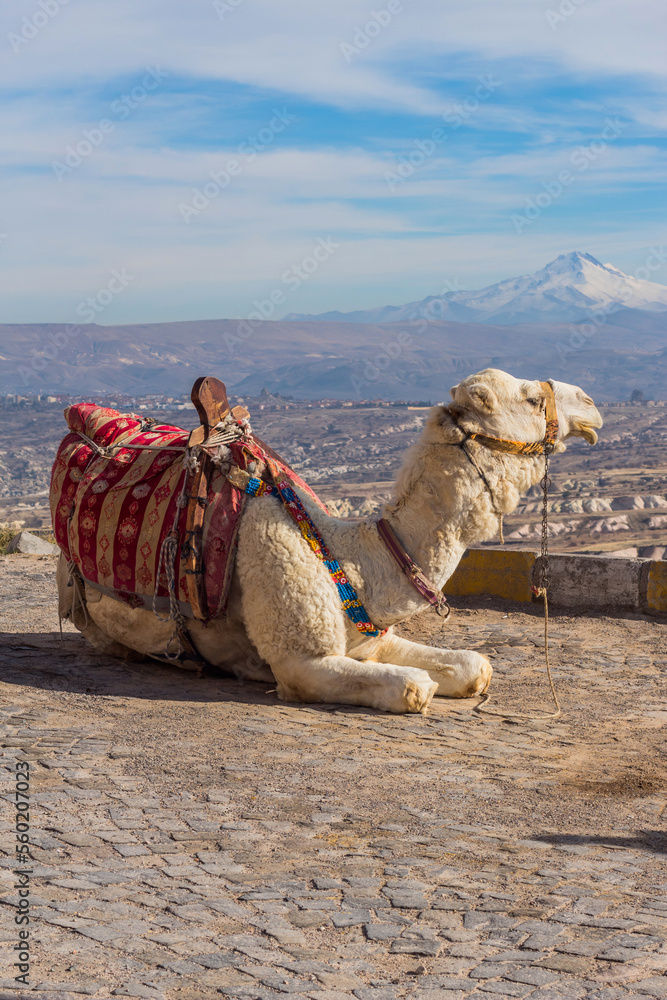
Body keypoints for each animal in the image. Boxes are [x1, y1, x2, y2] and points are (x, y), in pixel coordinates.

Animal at [57, 369, 602, 714]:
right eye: (532, 399)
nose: (592, 404)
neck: (350, 557)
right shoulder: (303, 663)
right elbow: (415, 690)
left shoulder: (371, 640)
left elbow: (476, 667)